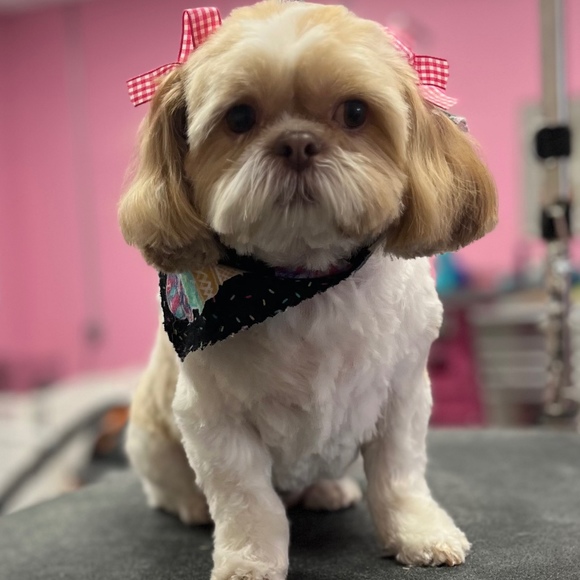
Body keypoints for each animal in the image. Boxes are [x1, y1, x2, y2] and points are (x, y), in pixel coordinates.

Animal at [119, 1, 497, 578]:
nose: (296, 143)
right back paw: (191, 505)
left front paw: (418, 533)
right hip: (149, 439)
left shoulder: (403, 396)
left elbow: (400, 478)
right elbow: (248, 502)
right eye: (240, 118)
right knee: (169, 486)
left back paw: (326, 488)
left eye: (355, 112)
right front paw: (250, 561)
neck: (305, 283)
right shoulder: (213, 422)